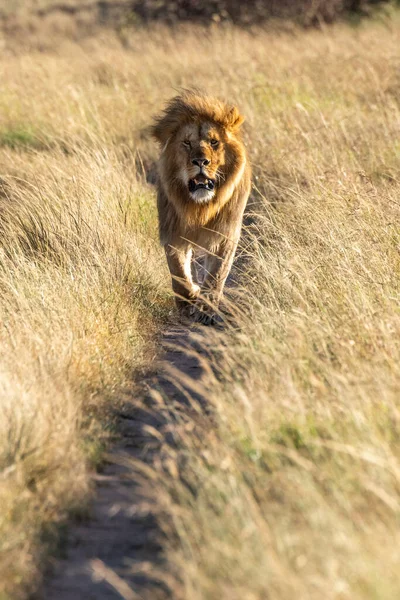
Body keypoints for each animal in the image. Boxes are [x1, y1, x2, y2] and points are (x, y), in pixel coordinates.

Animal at [152, 90, 252, 324]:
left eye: (214, 142)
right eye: (187, 143)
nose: (200, 161)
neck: (200, 206)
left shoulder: (226, 234)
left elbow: (217, 274)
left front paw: (206, 310)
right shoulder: (172, 231)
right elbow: (179, 272)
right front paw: (188, 300)